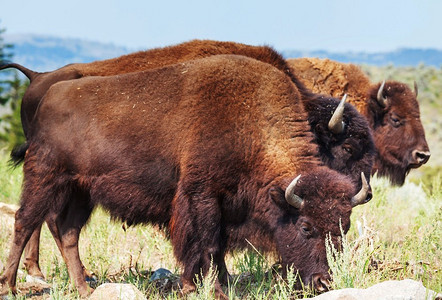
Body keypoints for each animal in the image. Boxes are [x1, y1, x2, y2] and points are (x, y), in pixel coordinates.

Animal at [0, 39, 374, 284]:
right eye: (347, 149)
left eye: (344, 228)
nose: (325, 282)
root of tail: (41, 82)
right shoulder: (200, 196)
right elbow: (204, 244)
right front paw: (206, 285)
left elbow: (216, 247)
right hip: (46, 176)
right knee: (28, 221)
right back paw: (19, 280)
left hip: (80, 190)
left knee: (64, 229)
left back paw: (77, 283)